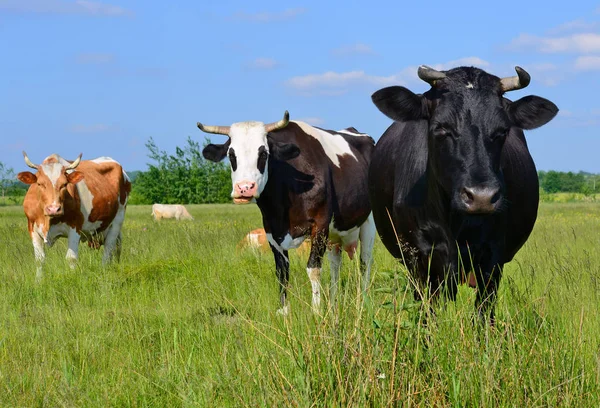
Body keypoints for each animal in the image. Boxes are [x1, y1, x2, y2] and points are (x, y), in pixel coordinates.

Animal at [197, 111, 376, 316]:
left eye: (264, 153)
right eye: (231, 154)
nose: (244, 188)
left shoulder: (320, 224)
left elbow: (314, 268)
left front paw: (316, 311)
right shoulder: (271, 230)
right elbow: (282, 271)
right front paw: (284, 310)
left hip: (368, 222)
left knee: (365, 262)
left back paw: (363, 300)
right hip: (335, 233)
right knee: (335, 264)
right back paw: (332, 303)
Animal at [368, 65, 560, 324]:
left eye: (502, 131)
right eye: (442, 128)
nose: (481, 197)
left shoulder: (493, 256)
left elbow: (483, 313)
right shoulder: (419, 256)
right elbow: (427, 313)